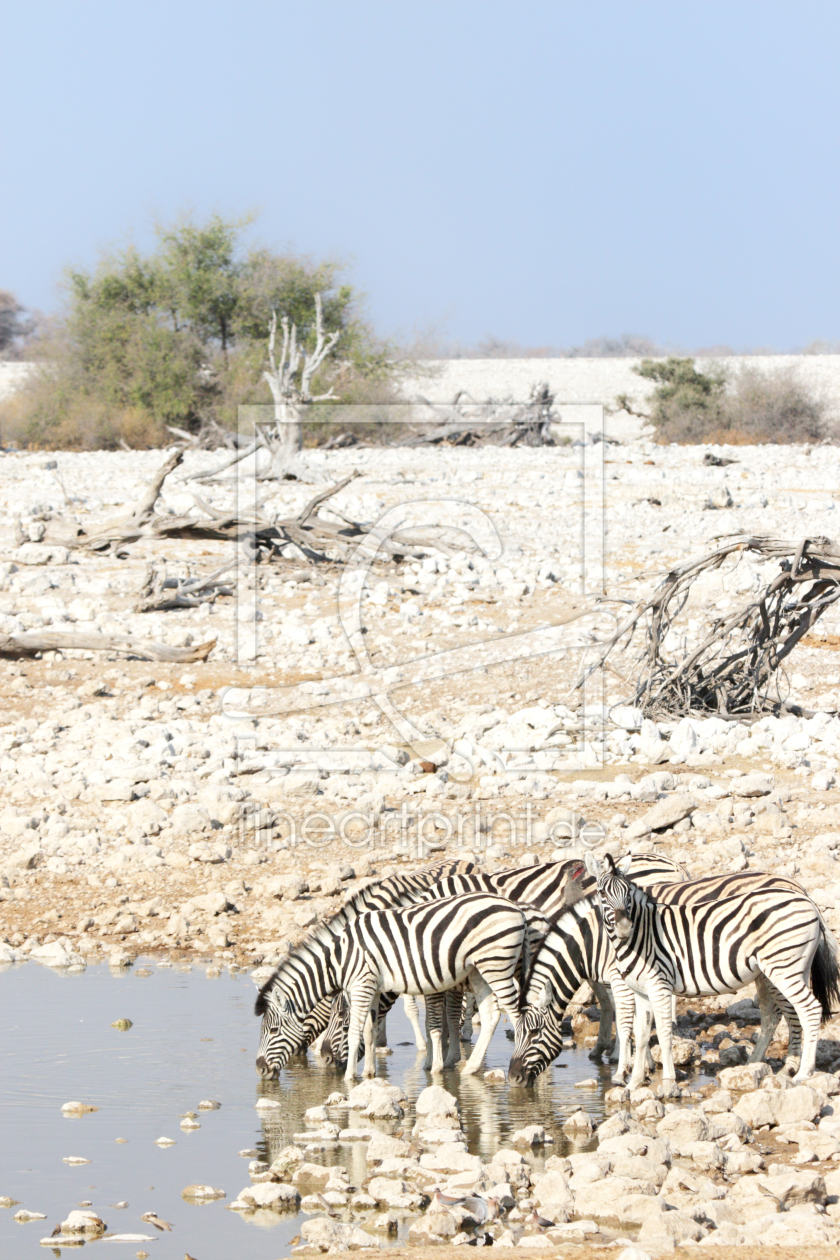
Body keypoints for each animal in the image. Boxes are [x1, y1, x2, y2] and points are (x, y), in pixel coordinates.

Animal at [253, 887, 536, 1083]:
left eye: (274, 1030)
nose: (260, 1069)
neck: (340, 958)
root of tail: (516, 908)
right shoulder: (373, 988)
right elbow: (369, 1030)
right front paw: (368, 1073)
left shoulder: (361, 985)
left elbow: (355, 1032)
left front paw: (349, 1078)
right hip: (479, 970)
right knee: (491, 1015)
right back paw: (471, 1068)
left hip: (496, 965)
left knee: (515, 1015)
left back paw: (516, 1065)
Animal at [508, 866, 831, 1083]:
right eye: (518, 1034)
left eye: (534, 1033)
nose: (513, 1078)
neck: (595, 940)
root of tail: (805, 898)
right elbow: (640, 1022)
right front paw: (644, 1066)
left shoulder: (619, 979)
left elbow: (625, 1022)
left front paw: (623, 1069)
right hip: (768, 972)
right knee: (775, 1015)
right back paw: (758, 1064)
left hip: (782, 967)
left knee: (803, 1011)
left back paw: (799, 1070)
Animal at [584, 851, 840, 1088]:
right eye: (602, 893)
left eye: (627, 893)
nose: (625, 929)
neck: (642, 935)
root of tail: (807, 900)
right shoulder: (641, 991)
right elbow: (642, 1034)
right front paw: (635, 1082)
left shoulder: (658, 984)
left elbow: (664, 1032)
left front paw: (667, 1081)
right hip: (793, 969)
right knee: (781, 1013)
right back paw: (759, 1065)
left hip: (783, 968)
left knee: (809, 1010)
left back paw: (803, 1073)